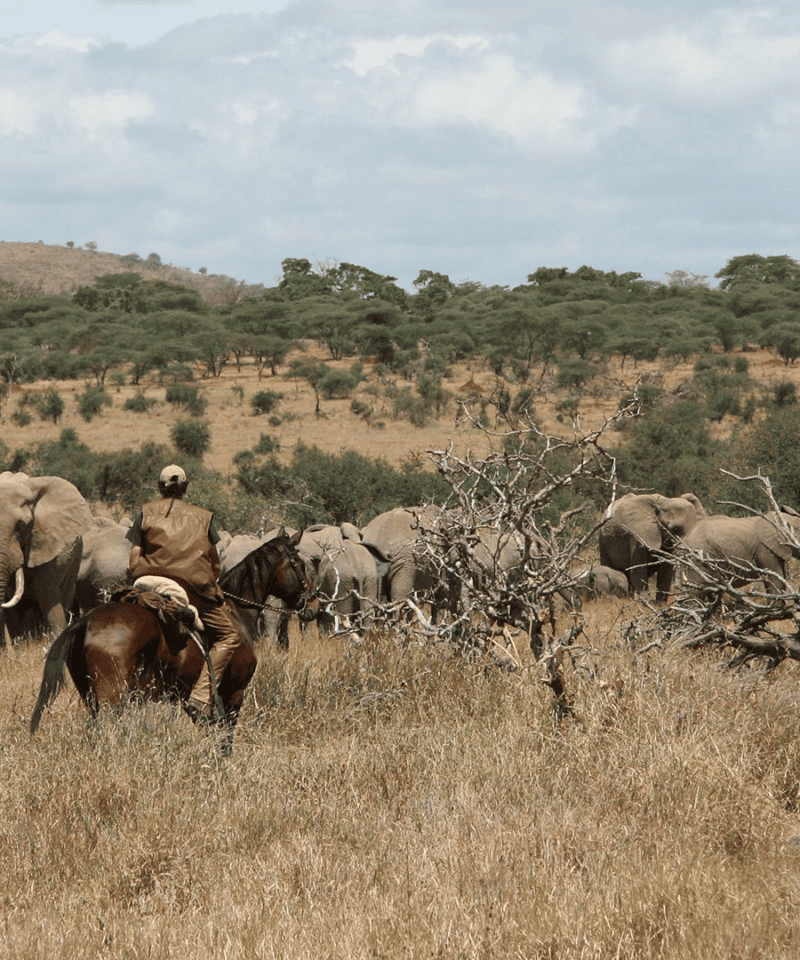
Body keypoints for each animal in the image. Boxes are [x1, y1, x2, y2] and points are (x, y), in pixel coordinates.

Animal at [30, 528, 315, 747]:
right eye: (300, 565)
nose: (313, 604)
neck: (237, 611)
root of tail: (88, 619)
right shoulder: (234, 693)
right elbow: (225, 738)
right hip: (112, 695)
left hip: (91, 695)